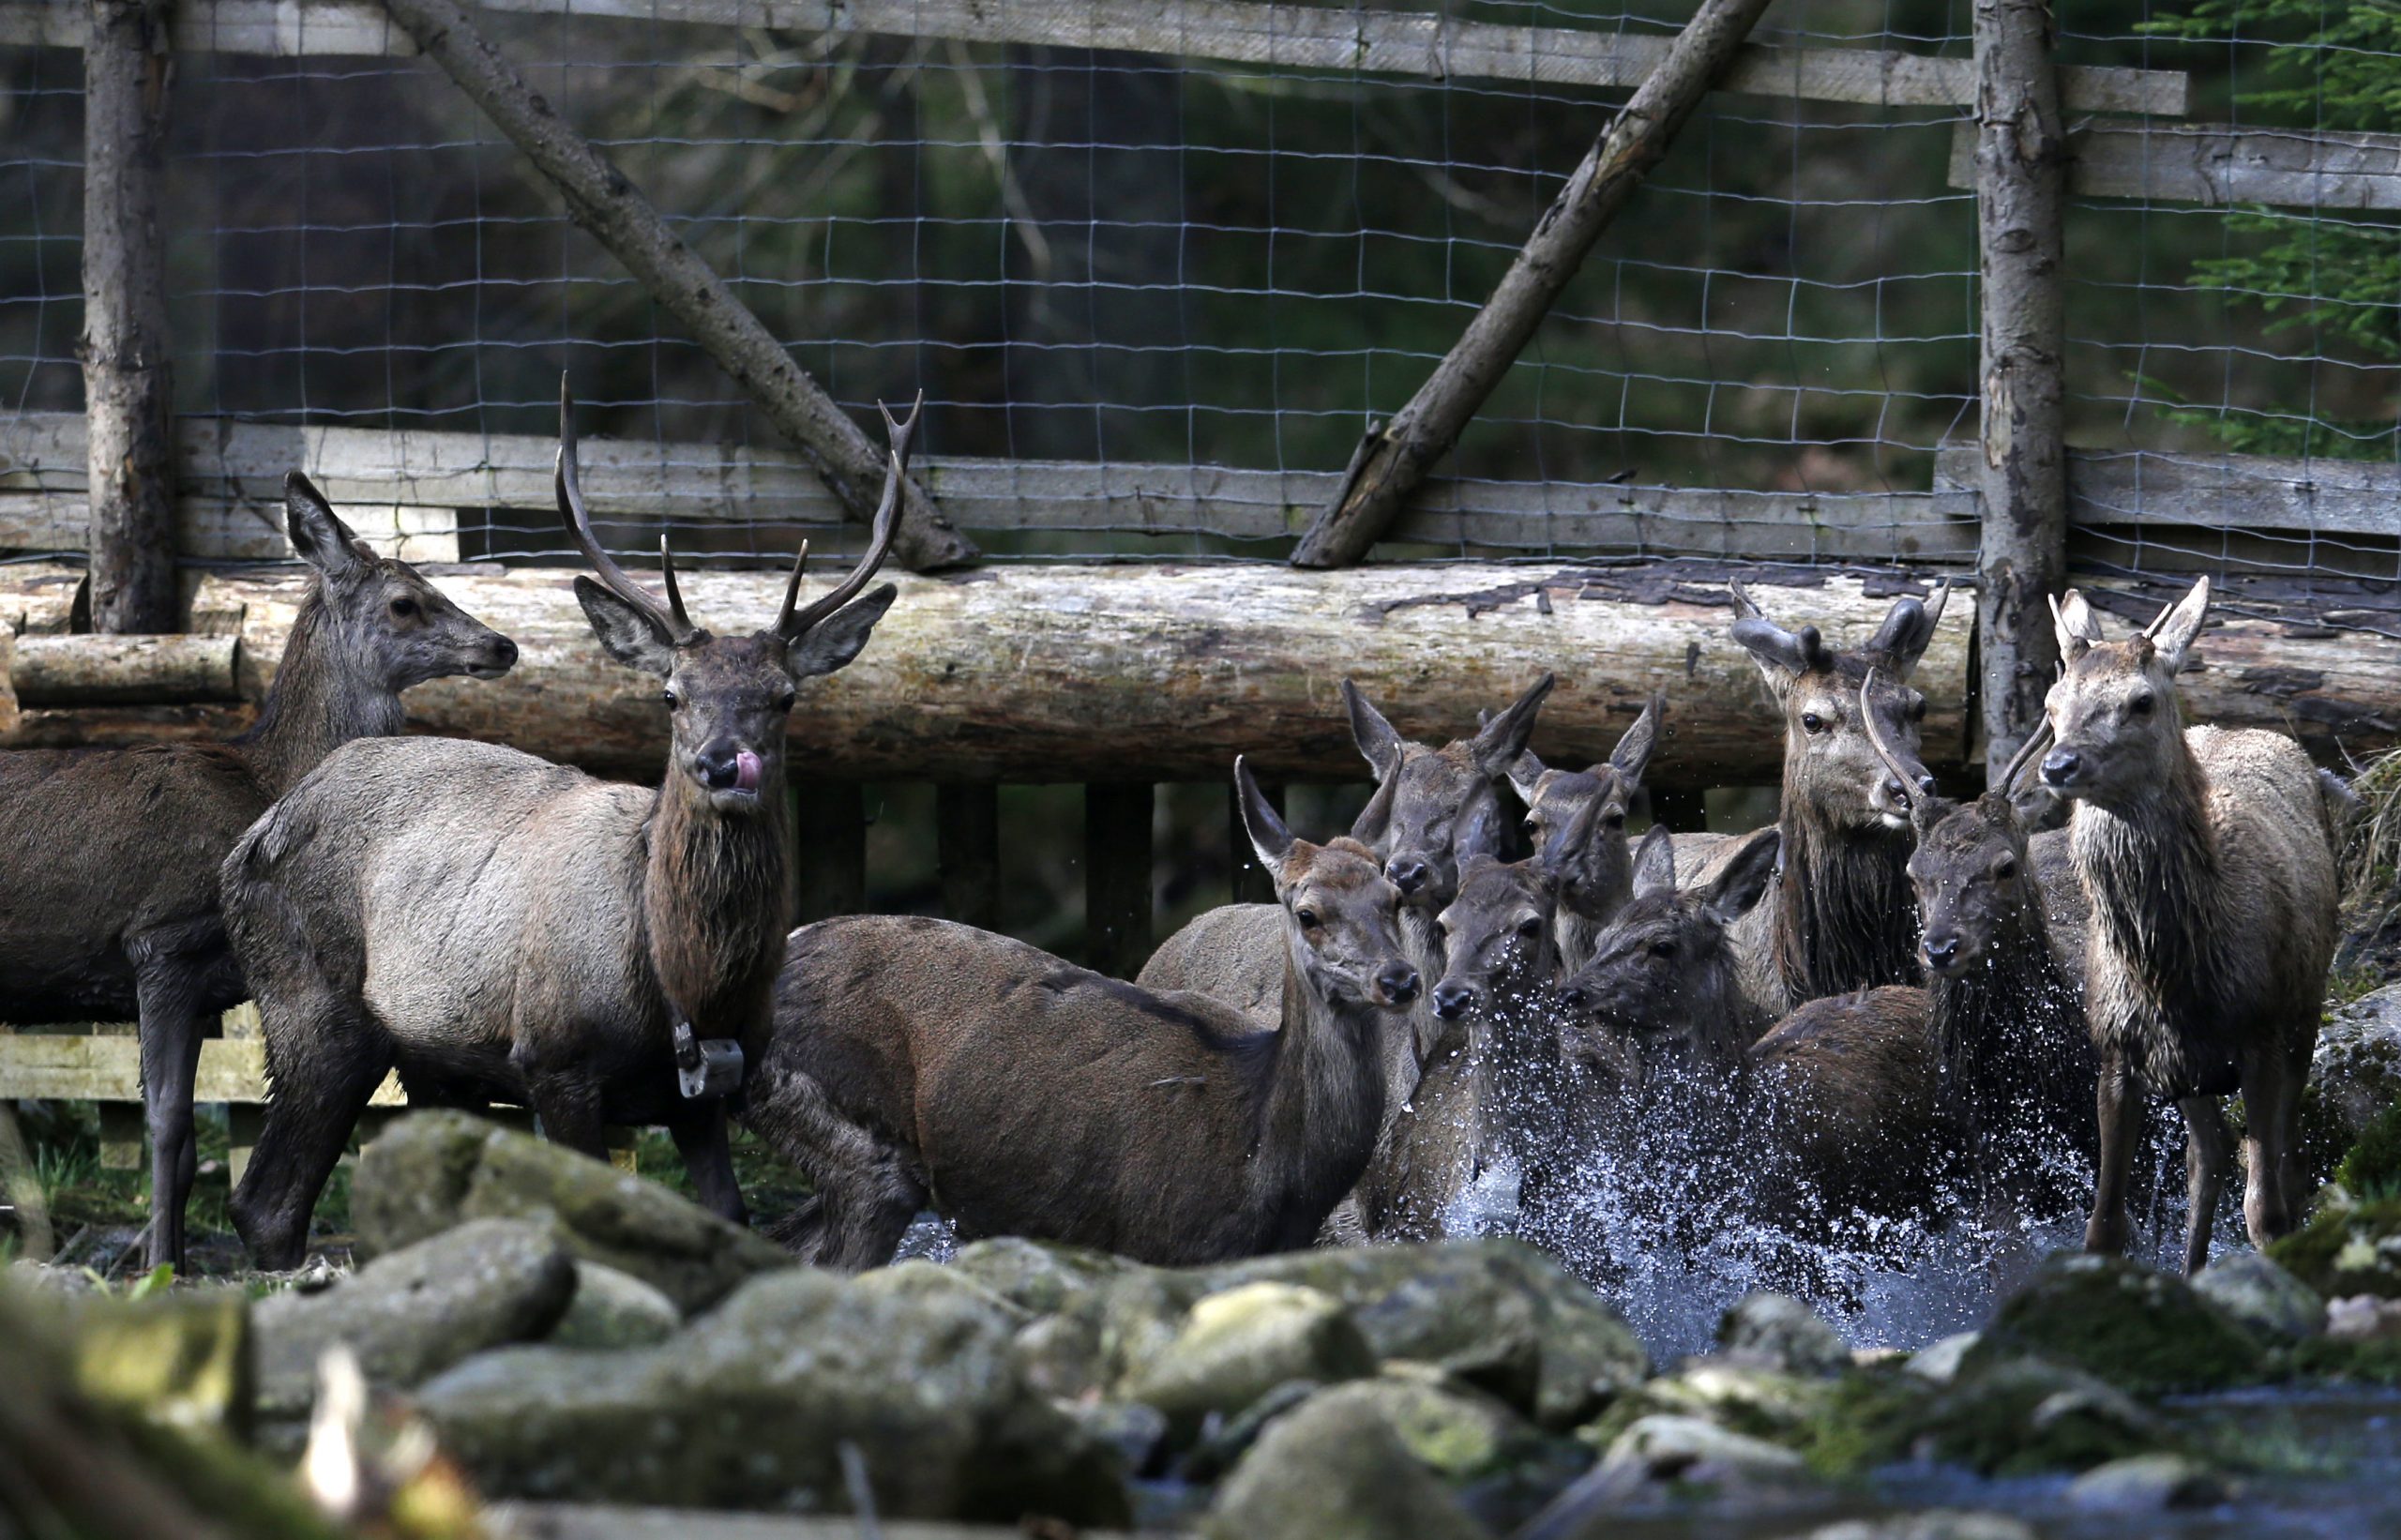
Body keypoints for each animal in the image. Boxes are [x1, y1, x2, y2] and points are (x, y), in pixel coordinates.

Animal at [0, 477, 516, 1270]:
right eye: (406, 601)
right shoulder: (161, 939)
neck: (263, 778)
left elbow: (186, 1146)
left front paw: (171, 1259)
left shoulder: (209, 979)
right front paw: (160, 1267)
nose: (503, 643)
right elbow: (168, 1124)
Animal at [218, 384, 911, 1269]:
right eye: (671, 693)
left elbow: (728, 1217)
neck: (684, 988)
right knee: (265, 1202)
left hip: (429, 1058)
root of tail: (254, 834)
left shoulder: (709, 1093)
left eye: (786, 697)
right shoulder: (556, 1061)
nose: (724, 764)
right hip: (308, 1001)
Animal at [2039, 577, 2341, 1274]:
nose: (2059, 764)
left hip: (2305, 1010)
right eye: (2052, 702)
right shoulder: (2119, 1050)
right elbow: (2103, 1227)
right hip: (2190, 1072)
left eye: (2141, 701)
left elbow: (2267, 1212)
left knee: (2280, 1164)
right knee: (2209, 1153)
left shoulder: (2262, 1035)